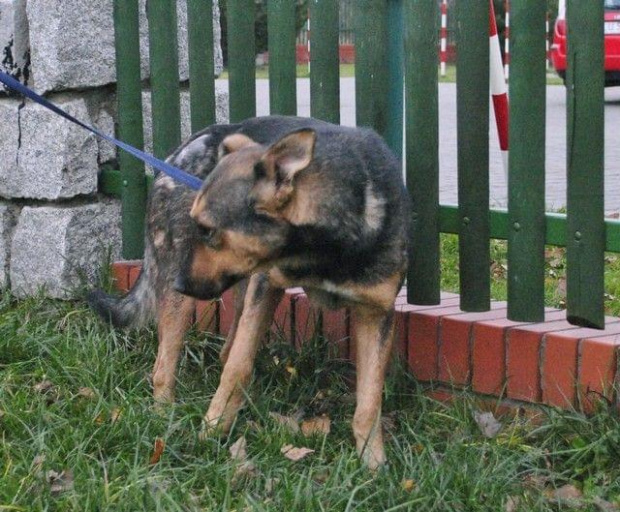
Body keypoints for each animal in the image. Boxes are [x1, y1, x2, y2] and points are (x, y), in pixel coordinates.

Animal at [174, 123, 410, 468]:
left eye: (206, 229)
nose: (178, 283)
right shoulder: (265, 285)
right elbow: (237, 369)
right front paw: (211, 431)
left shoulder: (377, 312)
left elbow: (369, 399)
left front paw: (373, 463)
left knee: (227, 347)